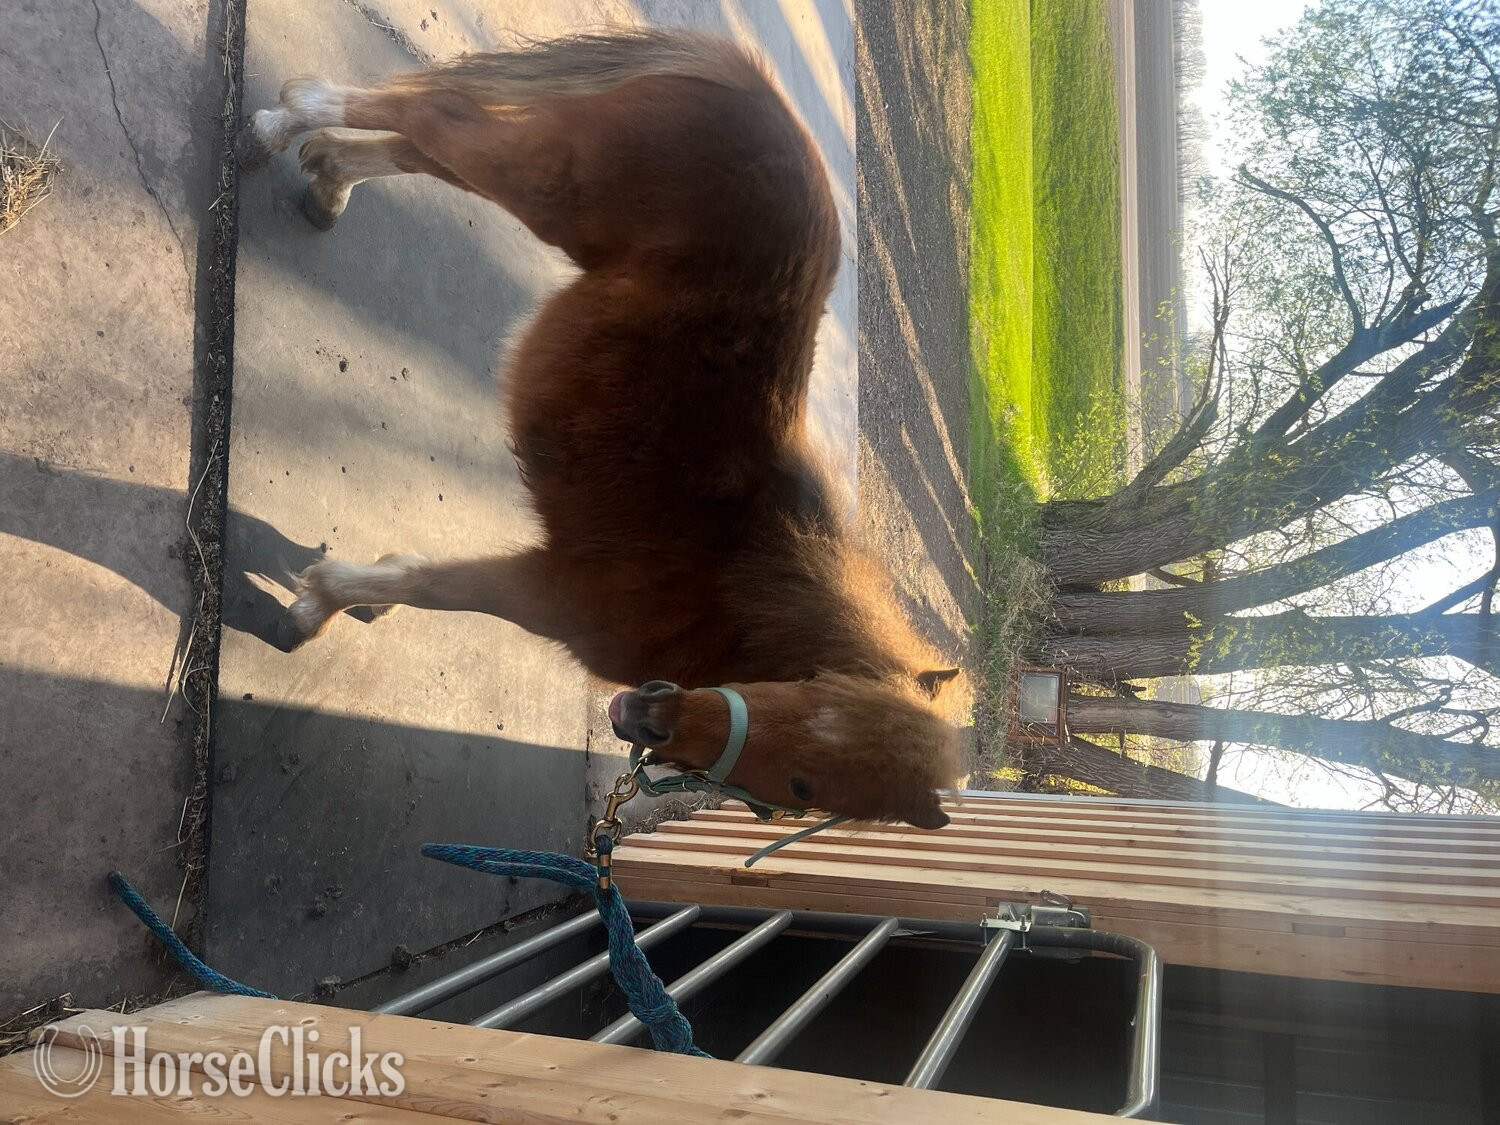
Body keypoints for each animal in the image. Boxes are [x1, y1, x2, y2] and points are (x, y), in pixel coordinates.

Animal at [238, 29, 965, 830]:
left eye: (803, 789)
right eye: (814, 700)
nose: (649, 719)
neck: (734, 596)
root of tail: (753, 90)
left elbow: (410, 577)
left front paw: (354, 598)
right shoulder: (547, 595)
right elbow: (428, 584)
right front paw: (314, 609)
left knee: (420, 148)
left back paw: (325, 175)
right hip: (549, 184)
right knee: (434, 116)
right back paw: (284, 126)